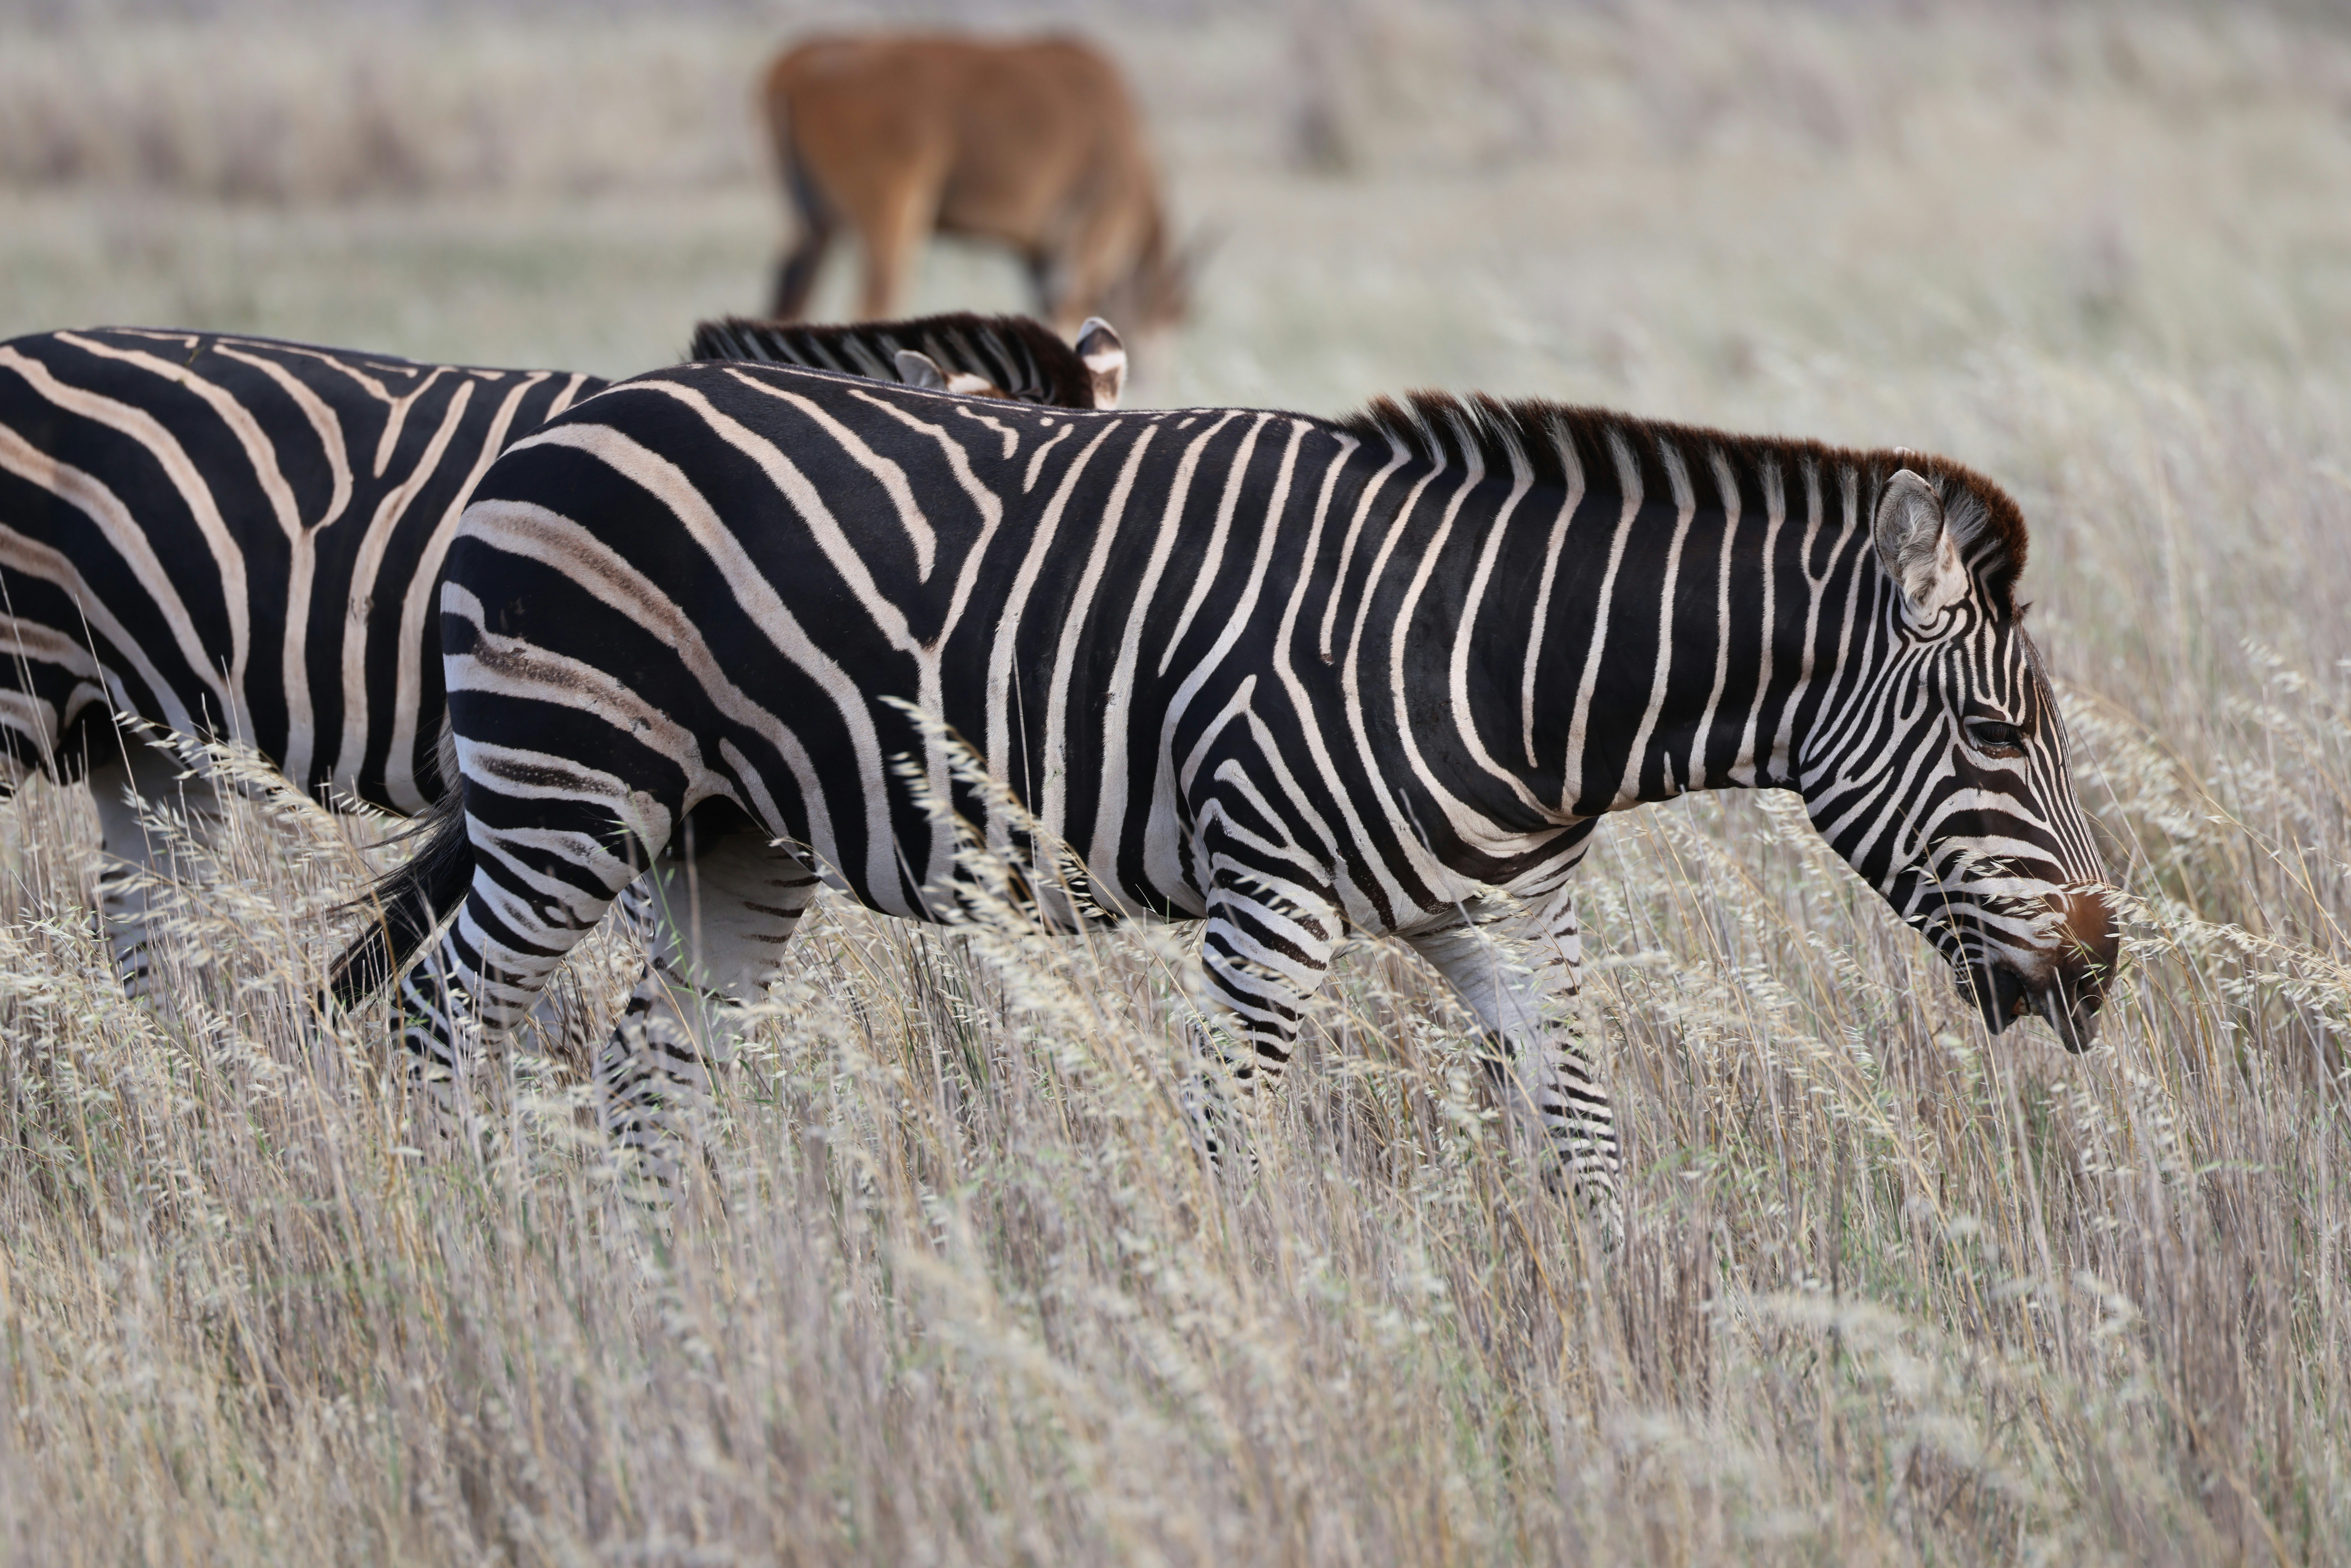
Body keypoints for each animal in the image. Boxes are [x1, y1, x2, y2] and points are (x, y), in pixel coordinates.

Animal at [329, 369, 2123, 1227]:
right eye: (1993, 730)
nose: (2101, 968)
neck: (1509, 663)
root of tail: (565, 423)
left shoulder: (1495, 910)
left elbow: (1587, 1129)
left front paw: (1640, 1345)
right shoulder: (1273, 898)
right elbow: (1224, 1141)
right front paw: (1249, 1333)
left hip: (729, 837)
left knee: (646, 1074)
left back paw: (658, 1295)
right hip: (568, 793)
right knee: (436, 1024)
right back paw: (457, 1260)